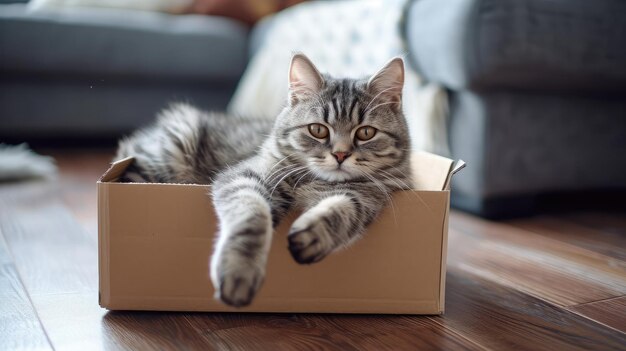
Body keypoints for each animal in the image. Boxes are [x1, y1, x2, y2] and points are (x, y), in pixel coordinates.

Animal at [116, 53, 410, 308]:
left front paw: (313, 234)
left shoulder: (367, 198)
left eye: (365, 133)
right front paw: (239, 272)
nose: (340, 154)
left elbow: (342, 210)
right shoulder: (247, 176)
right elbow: (252, 216)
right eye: (318, 130)